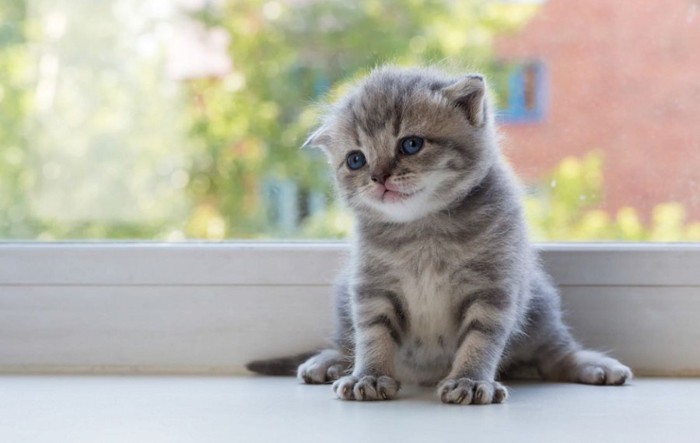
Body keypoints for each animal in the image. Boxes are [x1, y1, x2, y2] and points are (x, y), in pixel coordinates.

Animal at [249, 67, 632, 406]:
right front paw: (368, 375)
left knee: (555, 355)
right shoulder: (371, 287)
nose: (378, 176)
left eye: (411, 144)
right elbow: (371, 334)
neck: (424, 230)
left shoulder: (494, 287)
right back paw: (328, 361)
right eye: (356, 160)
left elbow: (481, 338)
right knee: (347, 341)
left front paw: (471, 380)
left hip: (539, 304)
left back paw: (594, 365)